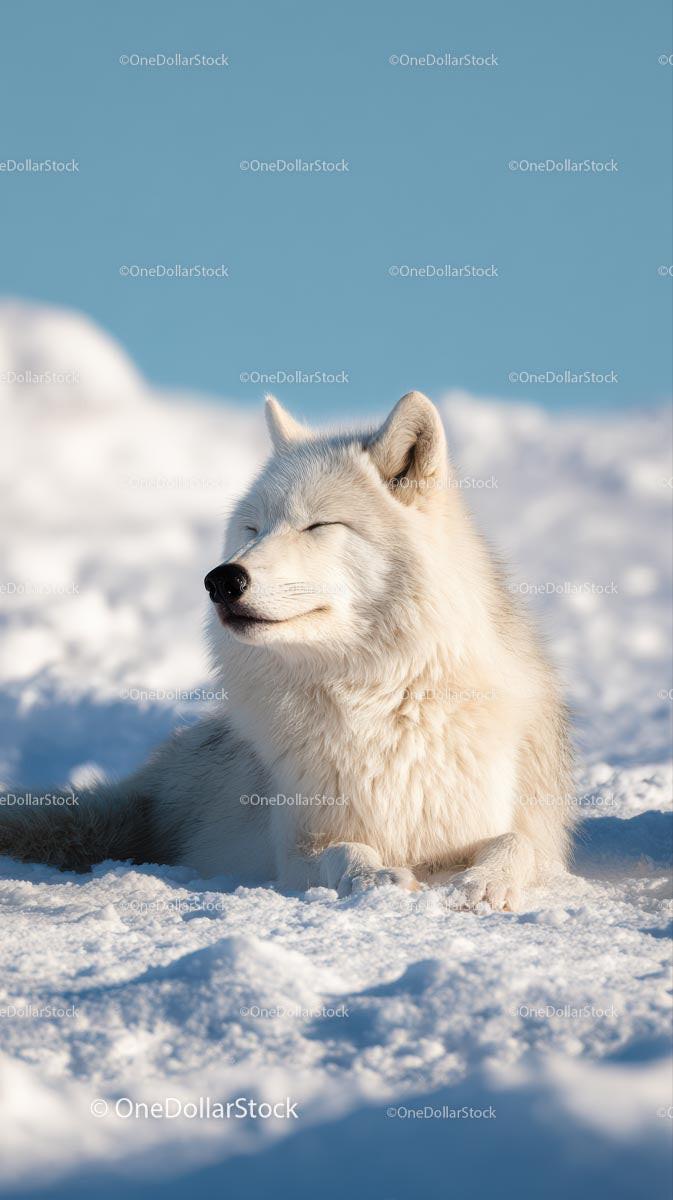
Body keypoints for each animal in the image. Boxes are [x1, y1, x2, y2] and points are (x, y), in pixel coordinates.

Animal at [0, 392, 574, 909]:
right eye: (252, 529)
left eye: (318, 524)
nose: (221, 580)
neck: (379, 696)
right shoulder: (297, 847)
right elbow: (346, 852)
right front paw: (375, 880)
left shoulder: (501, 831)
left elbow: (516, 844)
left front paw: (483, 884)